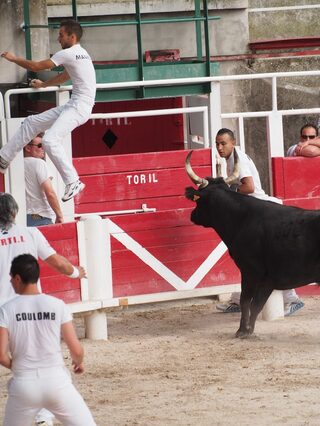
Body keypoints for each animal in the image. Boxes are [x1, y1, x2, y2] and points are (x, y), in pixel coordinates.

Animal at [185, 151, 320, 338]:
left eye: (198, 199)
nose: (192, 215)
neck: (243, 218)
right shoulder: (267, 280)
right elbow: (256, 305)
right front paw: (249, 330)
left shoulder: (250, 272)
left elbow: (246, 301)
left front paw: (242, 331)